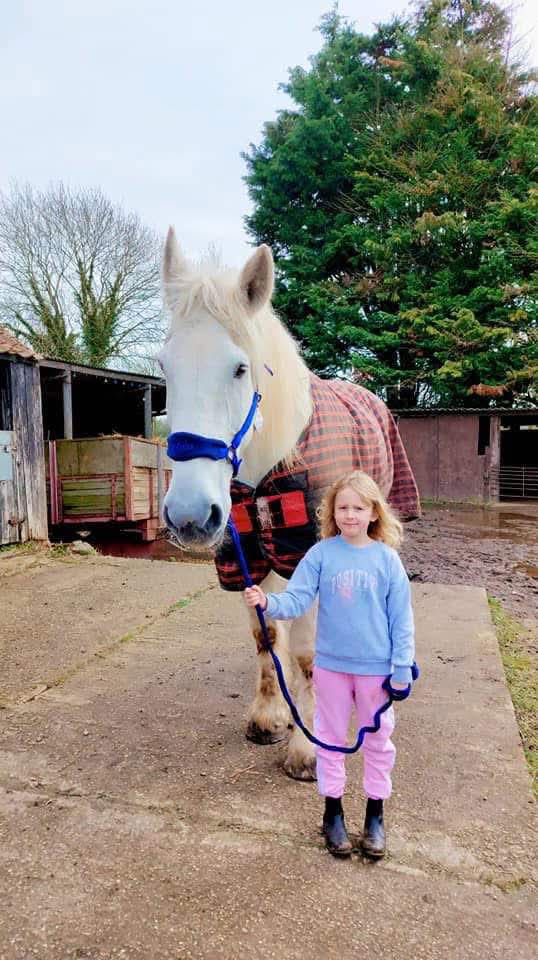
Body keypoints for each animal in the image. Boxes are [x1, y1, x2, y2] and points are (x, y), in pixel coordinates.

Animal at [159, 228, 420, 781]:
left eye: (240, 368)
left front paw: (309, 749)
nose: (190, 516)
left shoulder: (312, 555)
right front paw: (268, 718)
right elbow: (266, 638)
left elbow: (304, 655)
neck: (268, 467)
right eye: (164, 366)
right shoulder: (252, 559)